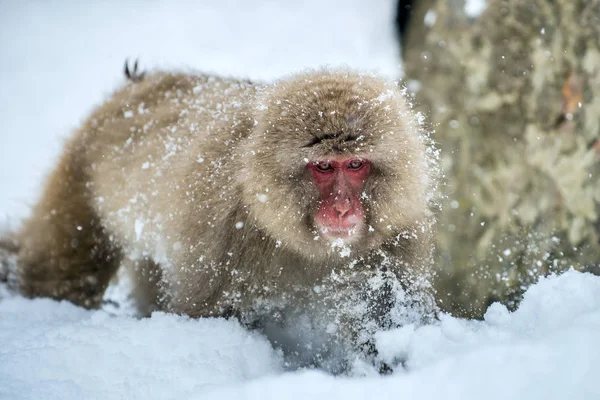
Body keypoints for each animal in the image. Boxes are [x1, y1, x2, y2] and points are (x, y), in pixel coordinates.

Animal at [9, 69, 436, 372]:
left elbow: (382, 329)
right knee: (66, 268)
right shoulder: (222, 233)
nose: (344, 209)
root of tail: (145, 80)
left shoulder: (395, 238)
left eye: (356, 165)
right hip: (81, 169)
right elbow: (206, 315)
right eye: (324, 167)